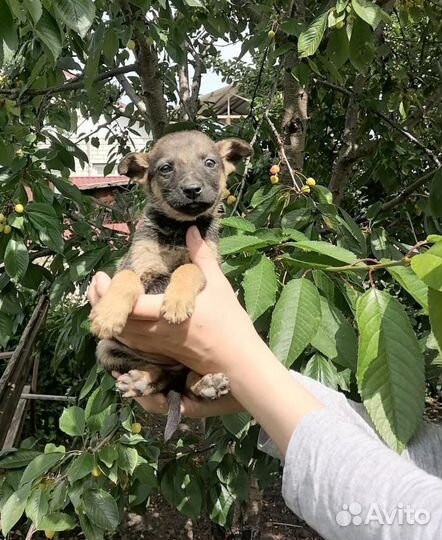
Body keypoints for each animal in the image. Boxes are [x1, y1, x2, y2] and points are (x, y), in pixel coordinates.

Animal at [89, 131, 252, 438]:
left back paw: (207, 384)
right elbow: (125, 278)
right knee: (161, 377)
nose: (192, 190)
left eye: (210, 163)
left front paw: (176, 303)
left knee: (187, 382)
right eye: (166, 168)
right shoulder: (136, 263)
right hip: (107, 350)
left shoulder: (207, 265)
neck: (179, 229)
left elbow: (187, 268)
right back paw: (141, 380)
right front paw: (107, 314)